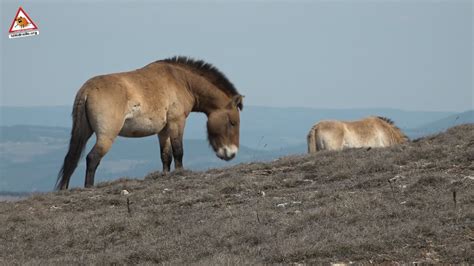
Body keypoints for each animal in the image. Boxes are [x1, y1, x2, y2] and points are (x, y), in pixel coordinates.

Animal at [56, 56, 244, 189]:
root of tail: (86, 90)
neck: (182, 81)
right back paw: (89, 187)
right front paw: (180, 173)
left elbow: (166, 156)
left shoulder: (163, 130)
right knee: (92, 158)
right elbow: (178, 151)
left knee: (71, 159)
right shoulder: (177, 122)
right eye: (232, 122)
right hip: (106, 135)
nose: (231, 153)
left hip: (84, 132)